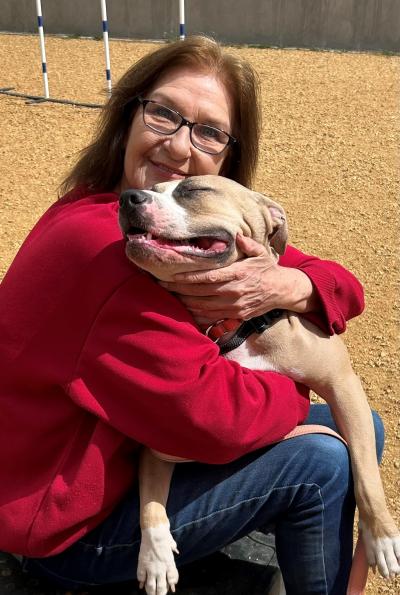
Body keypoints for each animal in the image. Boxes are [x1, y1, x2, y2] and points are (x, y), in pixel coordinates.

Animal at [119, 176, 400, 595]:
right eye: (151, 186)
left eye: (194, 189)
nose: (126, 198)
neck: (234, 325)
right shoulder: (162, 443)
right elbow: (151, 502)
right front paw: (155, 559)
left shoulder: (342, 384)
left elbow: (365, 471)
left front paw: (382, 536)